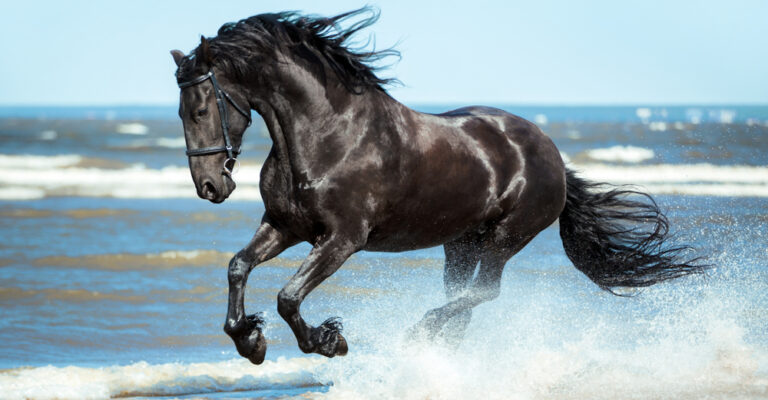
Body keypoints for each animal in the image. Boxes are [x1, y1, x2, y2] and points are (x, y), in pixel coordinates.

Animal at [170, 8, 704, 364]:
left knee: (483, 293)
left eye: (201, 108)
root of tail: (551, 153)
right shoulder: (284, 226)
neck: (327, 134)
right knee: (464, 300)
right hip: (460, 243)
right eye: (179, 111)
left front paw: (328, 341)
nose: (210, 186)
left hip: (506, 237)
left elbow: (288, 296)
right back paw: (436, 348)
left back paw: (419, 333)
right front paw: (249, 340)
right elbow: (238, 267)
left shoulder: (342, 239)